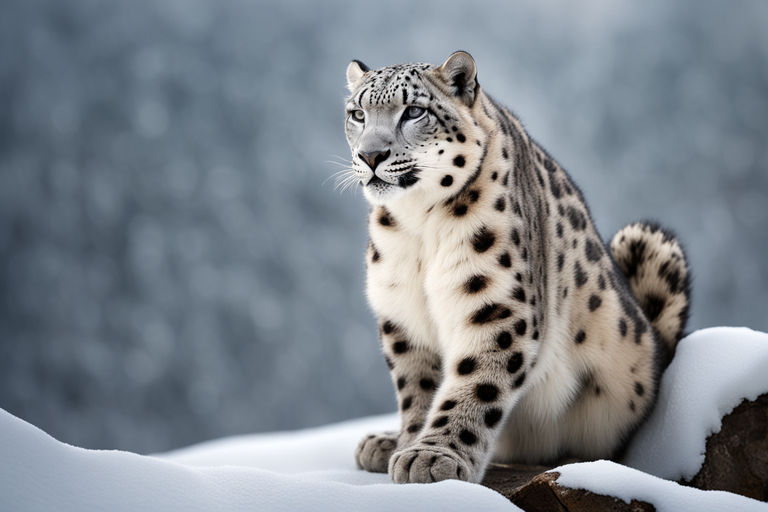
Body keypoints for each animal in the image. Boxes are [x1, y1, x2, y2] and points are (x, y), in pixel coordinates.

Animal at [342, 51, 688, 484]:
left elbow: (476, 384)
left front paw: (433, 456)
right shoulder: (403, 313)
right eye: (357, 114)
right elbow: (416, 388)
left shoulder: (496, 303)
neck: (419, 227)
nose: (370, 155)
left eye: (414, 111)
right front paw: (409, 443)